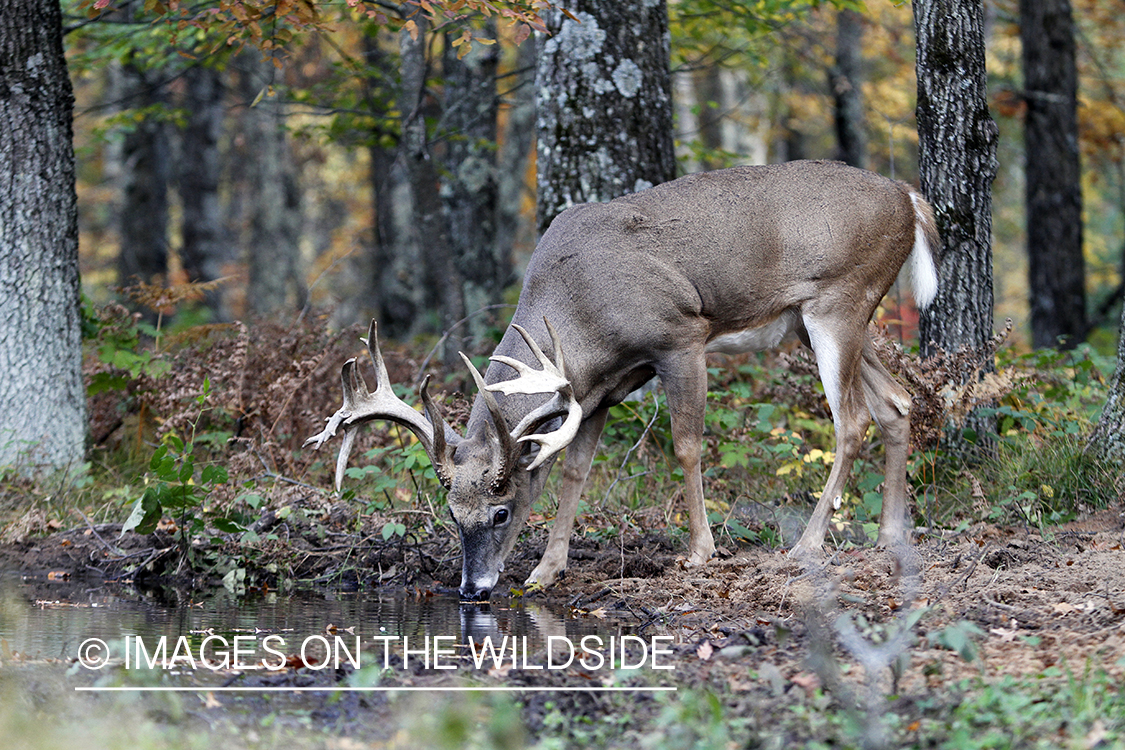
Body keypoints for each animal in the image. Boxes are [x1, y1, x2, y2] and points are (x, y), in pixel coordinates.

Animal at [308, 159, 940, 602]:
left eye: (500, 511)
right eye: (452, 513)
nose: (472, 589)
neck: (579, 311)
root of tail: (908, 199)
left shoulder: (680, 336)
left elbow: (687, 445)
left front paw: (700, 552)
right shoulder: (596, 391)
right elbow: (574, 471)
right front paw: (545, 571)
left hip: (838, 301)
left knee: (851, 420)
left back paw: (807, 543)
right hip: (823, 323)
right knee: (898, 401)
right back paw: (891, 535)